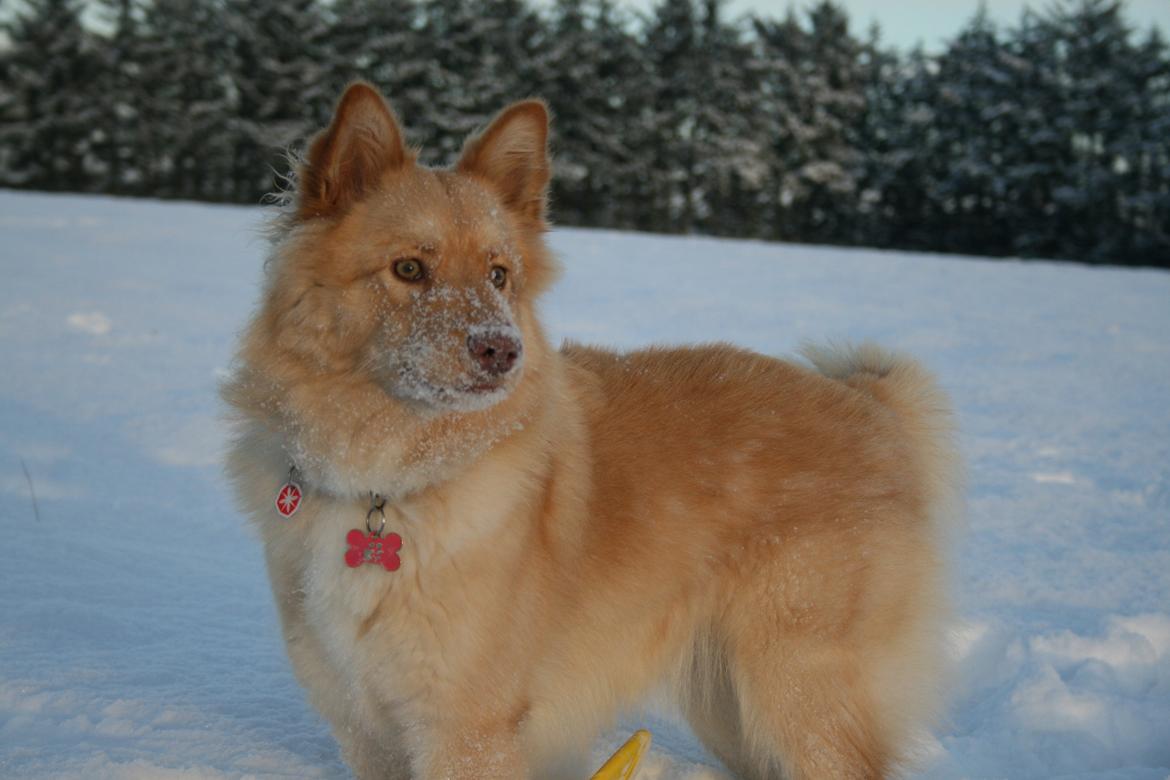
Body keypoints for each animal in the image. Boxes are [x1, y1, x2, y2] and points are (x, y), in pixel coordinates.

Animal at [223, 82, 964, 776]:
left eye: (499, 275)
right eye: (409, 268)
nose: (502, 351)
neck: (386, 485)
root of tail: (869, 403)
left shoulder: (466, 730)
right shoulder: (365, 725)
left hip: (795, 691)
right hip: (731, 706)